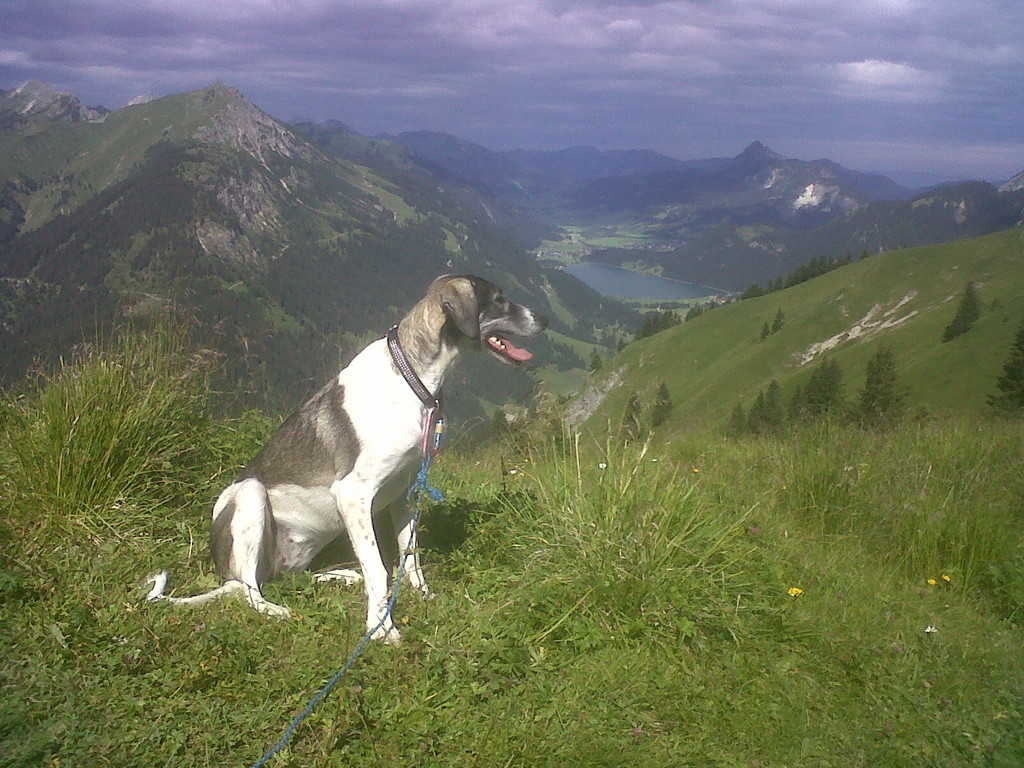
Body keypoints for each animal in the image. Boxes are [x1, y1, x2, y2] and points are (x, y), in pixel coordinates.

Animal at [148, 276, 548, 643]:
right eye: (499, 299)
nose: (544, 321)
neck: (411, 378)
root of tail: (222, 571)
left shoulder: (406, 492)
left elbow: (410, 556)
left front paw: (422, 597)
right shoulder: (353, 494)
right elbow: (379, 568)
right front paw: (381, 628)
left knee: (286, 577)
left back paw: (338, 576)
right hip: (250, 494)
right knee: (247, 588)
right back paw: (276, 609)